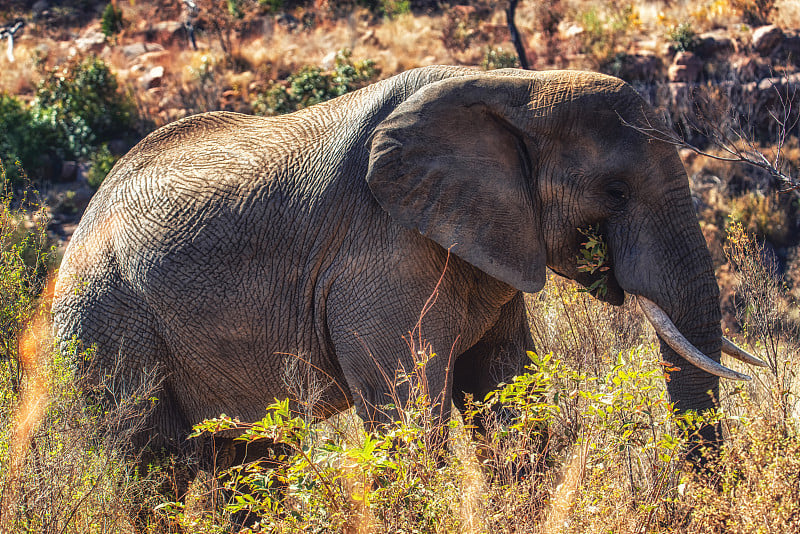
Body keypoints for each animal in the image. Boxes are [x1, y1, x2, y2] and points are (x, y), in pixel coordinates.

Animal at [50, 66, 764, 468]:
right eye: (615, 192)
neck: (515, 84)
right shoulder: (380, 255)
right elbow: (407, 418)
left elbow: (504, 391)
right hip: (103, 327)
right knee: (140, 464)